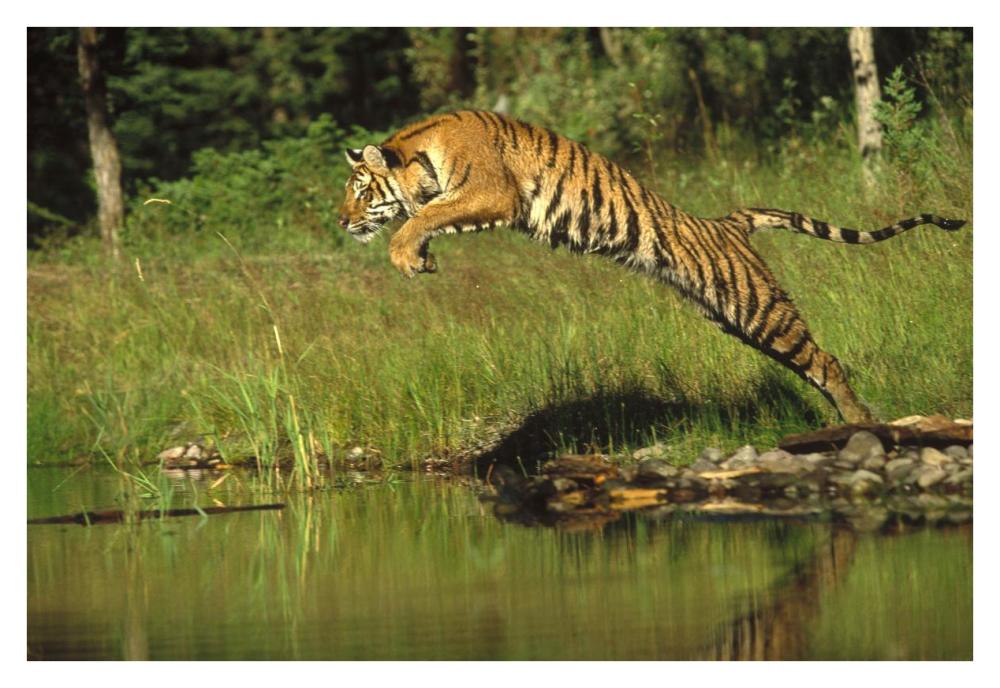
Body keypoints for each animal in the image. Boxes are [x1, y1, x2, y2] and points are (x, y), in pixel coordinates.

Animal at [337, 110, 966, 424]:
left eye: (360, 191)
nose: (341, 221)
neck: (421, 152)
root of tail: (727, 221)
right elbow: (431, 217)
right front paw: (422, 257)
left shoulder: (493, 191)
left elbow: (424, 215)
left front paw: (407, 254)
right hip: (737, 319)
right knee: (812, 364)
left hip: (759, 308)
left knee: (827, 361)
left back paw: (863, 424)